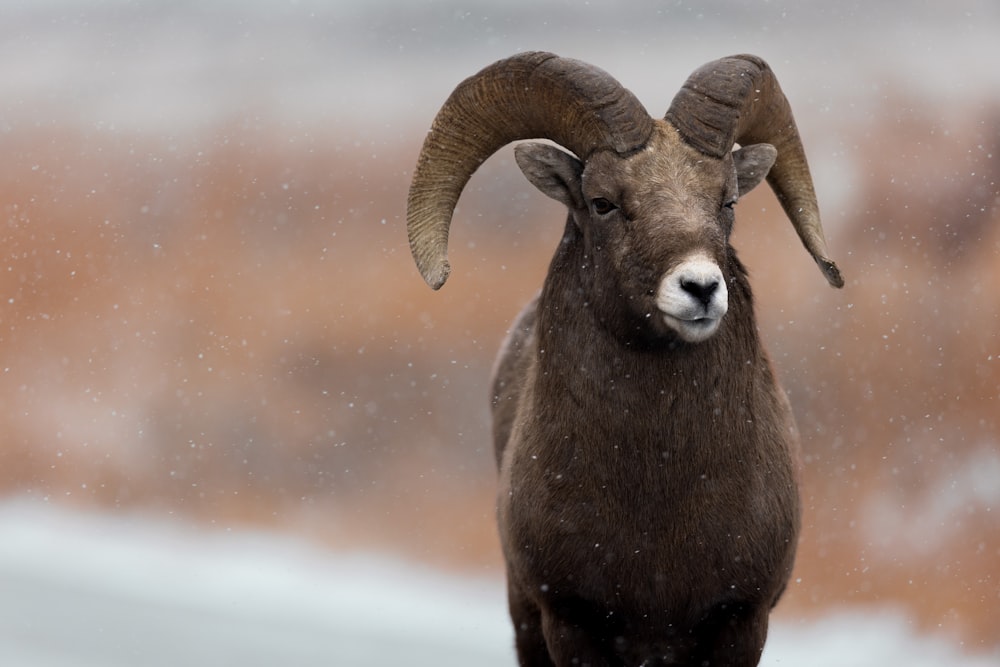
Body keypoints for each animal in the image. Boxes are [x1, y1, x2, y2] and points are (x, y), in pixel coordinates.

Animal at [406, 52, 844, 667]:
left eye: (727, 201)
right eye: (603, 203)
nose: (700, 288)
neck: (655, 500)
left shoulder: (742, 621)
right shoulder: (571, 622)